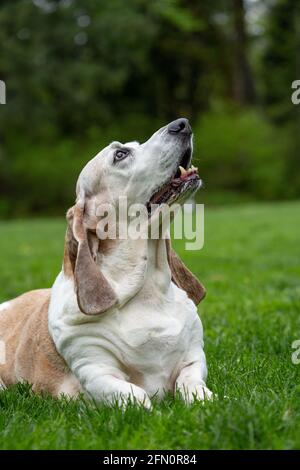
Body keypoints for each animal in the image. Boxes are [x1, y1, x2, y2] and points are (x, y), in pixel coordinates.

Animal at [0, 118, 212, 408]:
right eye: (120, 154)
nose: (182, 124)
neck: (146, 291)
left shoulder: (194, 357)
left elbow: (191, 383)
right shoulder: (97, 372)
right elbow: (138, 397)